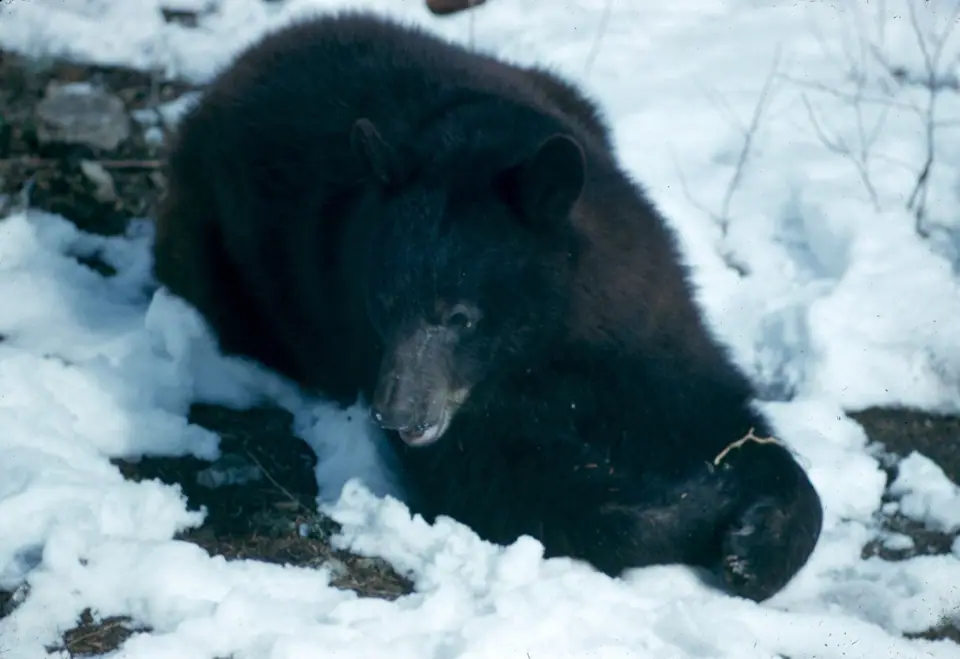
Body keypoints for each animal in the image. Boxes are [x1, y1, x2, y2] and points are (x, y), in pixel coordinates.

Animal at [152, 11, 824, 602]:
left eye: (460, 316)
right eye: (384, 303)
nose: (395, 412)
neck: (544, 351)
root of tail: (235, 67)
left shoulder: (639, 322)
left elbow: (722, 414)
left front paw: (756, 538)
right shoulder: (467, 415)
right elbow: (512, 488)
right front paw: (702, 507)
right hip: (209, 251)